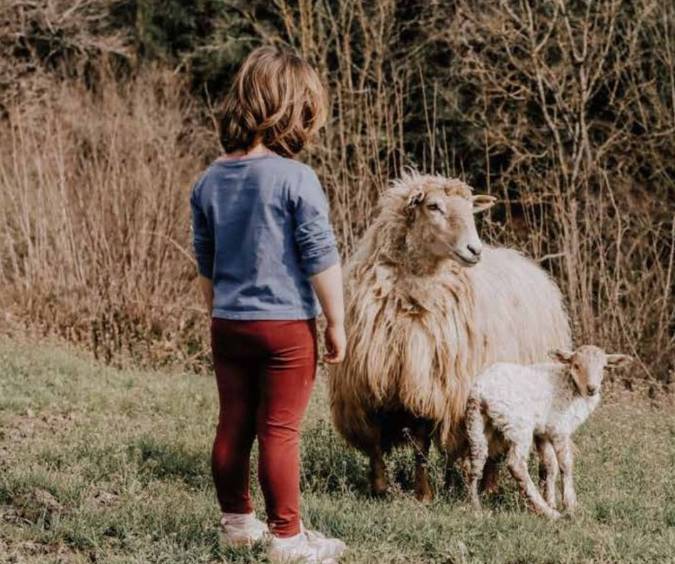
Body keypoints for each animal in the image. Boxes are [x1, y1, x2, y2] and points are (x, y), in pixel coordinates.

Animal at [330, 172, 572, 502]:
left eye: (471, 209)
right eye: (434, 206)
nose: (474, 250)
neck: (413, 293)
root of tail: (532, 267)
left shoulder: (427, 382)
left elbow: (420, 444)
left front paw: (423, 494)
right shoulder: (370, 378)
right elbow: (376, 438)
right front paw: (379, 487)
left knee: (496, 447)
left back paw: (489, 486)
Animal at [468, 342, 632, 516]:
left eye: (604, 367)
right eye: (576, 365)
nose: (592, 388)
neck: (572, 386)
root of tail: (482, 391)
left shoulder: (543, 432)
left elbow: (550, 465)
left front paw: (552, 501)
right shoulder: (560, 427)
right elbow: (566, 464)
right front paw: (570, 505)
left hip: (476, 420)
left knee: (477, 461)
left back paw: (476, 509)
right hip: (519, 424)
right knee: (516, 465)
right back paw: (547, 512)